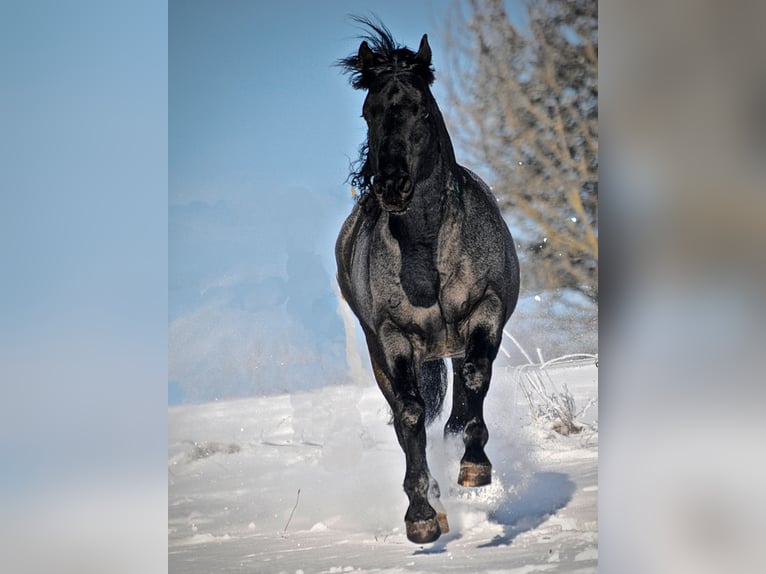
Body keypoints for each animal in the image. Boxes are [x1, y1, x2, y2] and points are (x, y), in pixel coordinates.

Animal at [334, 20, 520, 548]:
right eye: (368, 111)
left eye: (419, 107)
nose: (391, 186)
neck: (429, 252)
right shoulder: (394, 338)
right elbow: (411, 415)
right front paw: (421, 515)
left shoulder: (484, 310)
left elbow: (474, 381)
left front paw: (474, 467)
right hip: (382, 354)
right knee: (404, 417)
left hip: (452, 343)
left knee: (460, 399)